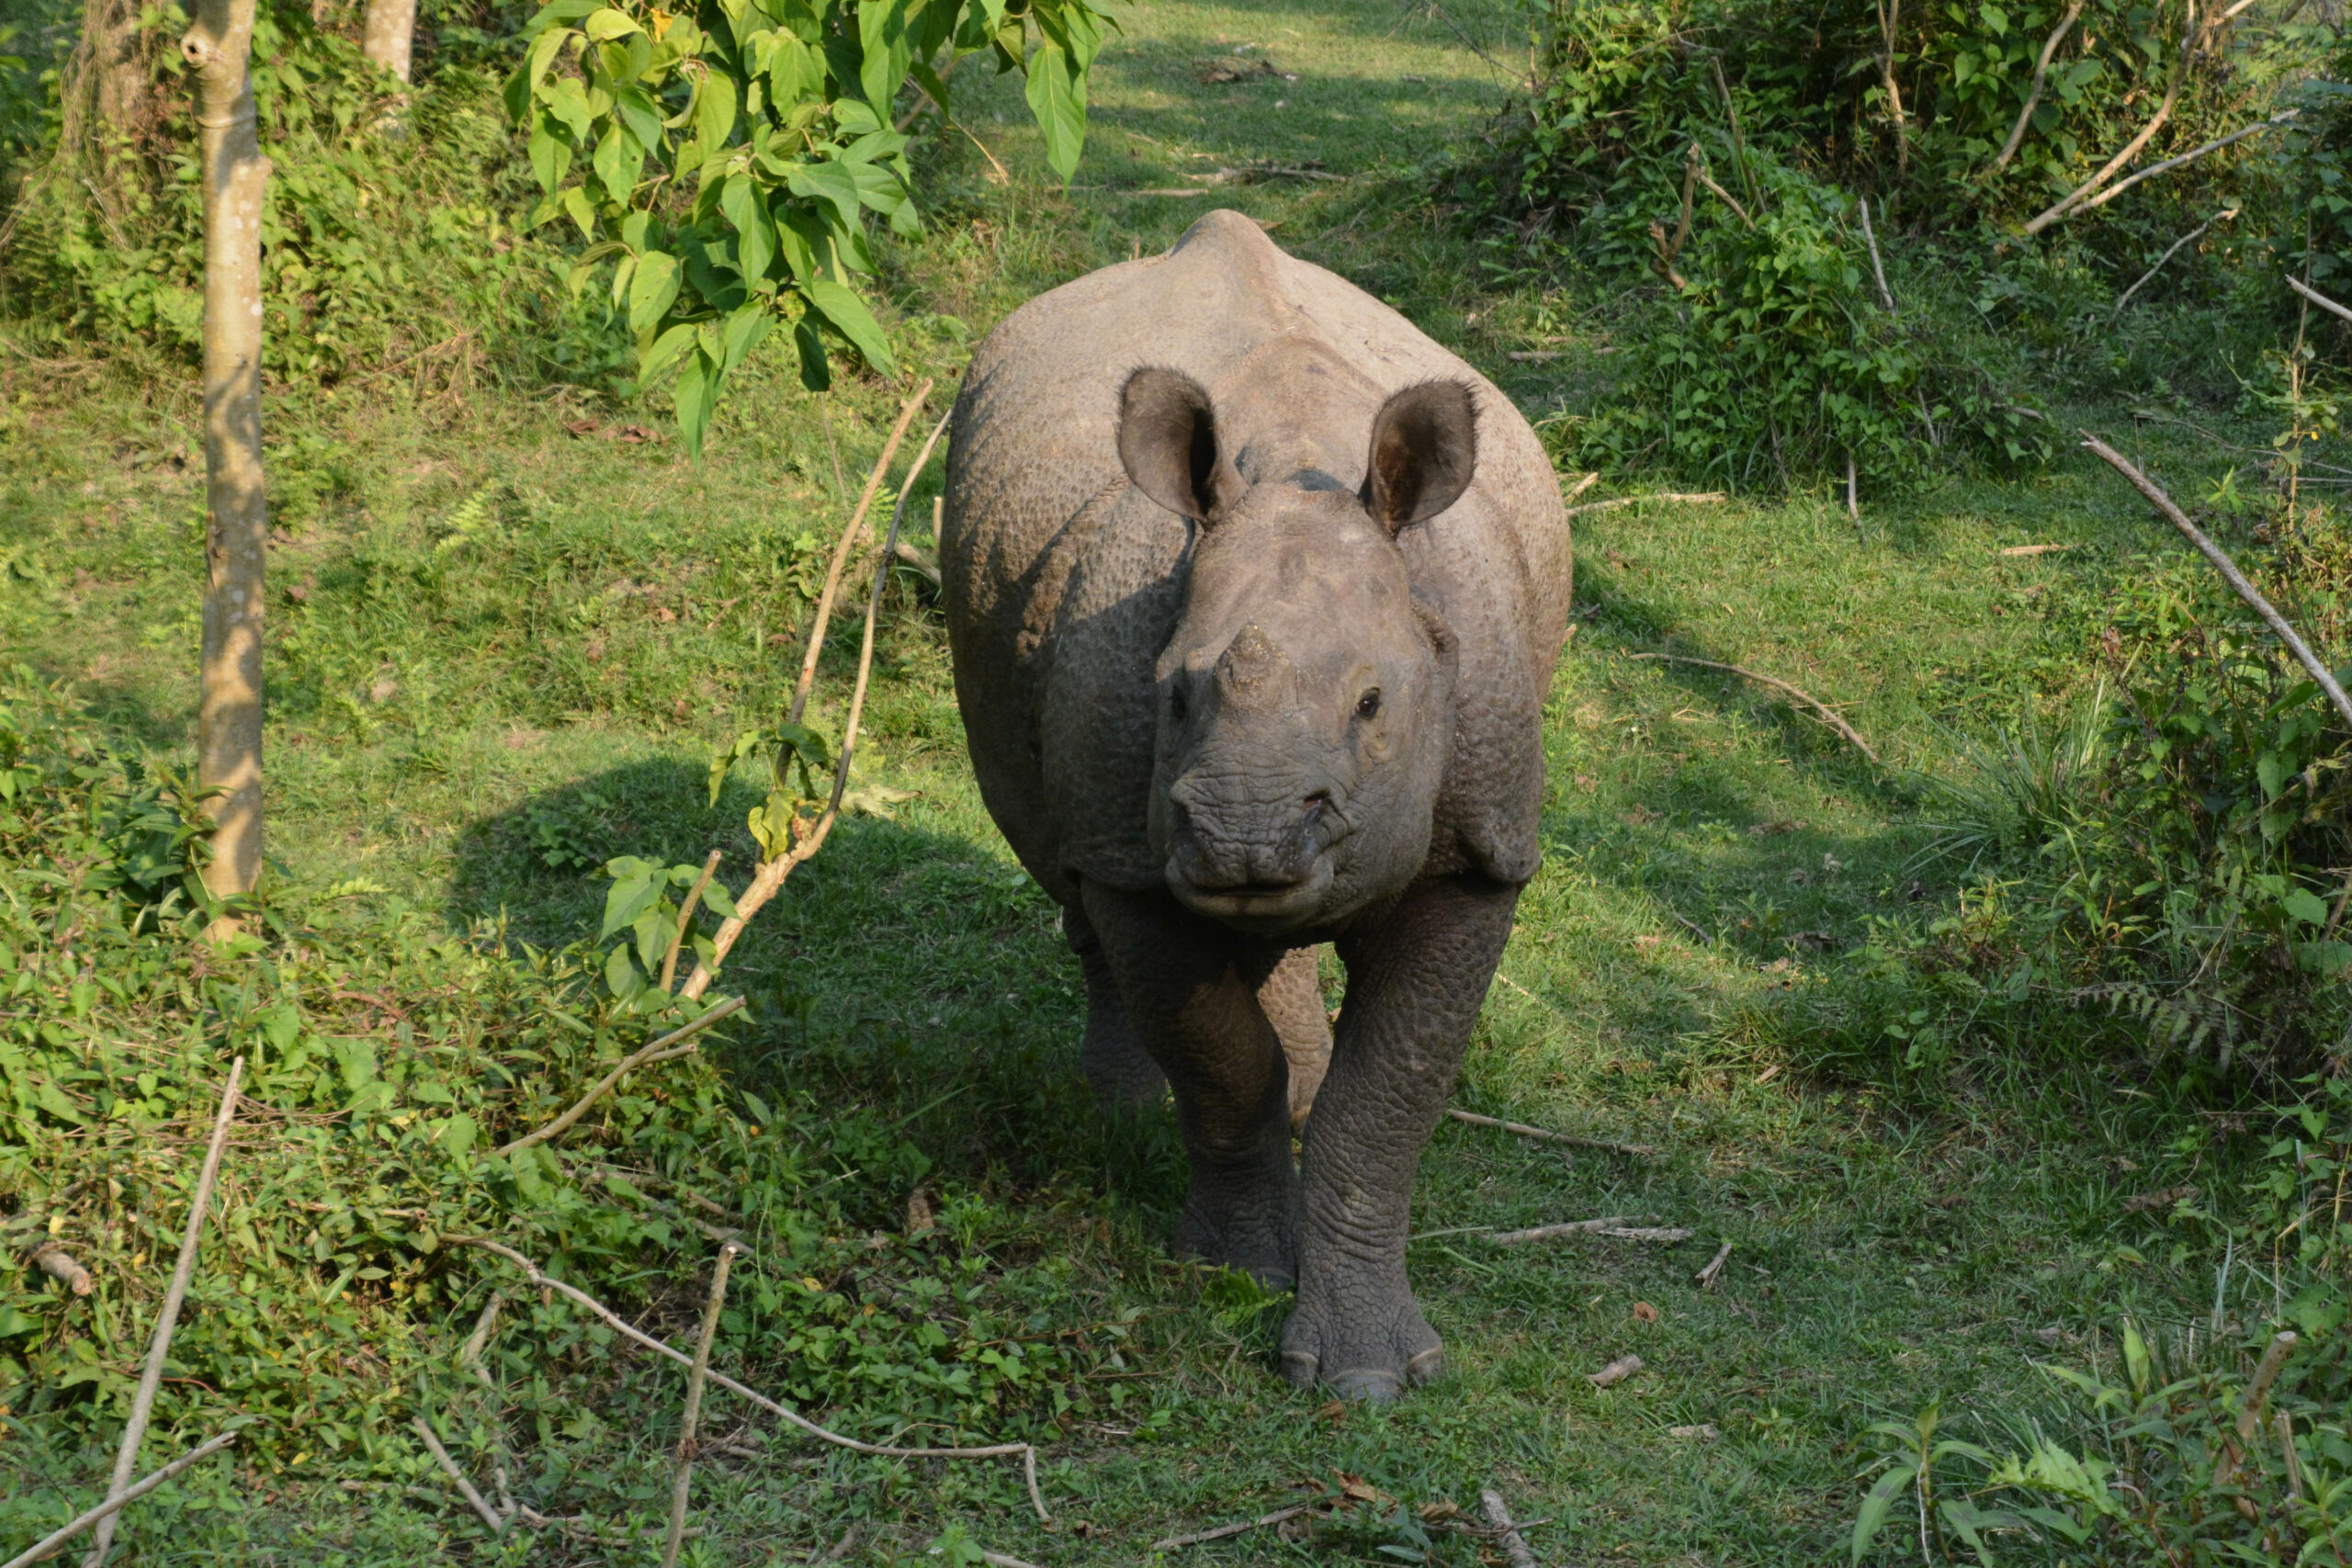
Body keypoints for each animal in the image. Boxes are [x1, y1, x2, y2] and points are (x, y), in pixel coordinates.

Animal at [940, 210, 1573, 1399]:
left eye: (1373, 704)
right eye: (1173, 692)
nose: (1244, 836)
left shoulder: (1484, 850)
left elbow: (1387, 1102)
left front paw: (1372, 1376)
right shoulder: (1138, 851)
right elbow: (1218, 1060)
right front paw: (1232, 1272)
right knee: (1068, 869)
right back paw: (1122, 1115)